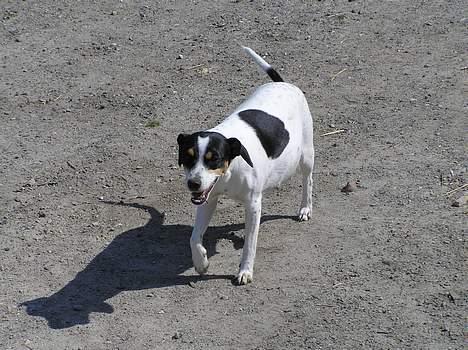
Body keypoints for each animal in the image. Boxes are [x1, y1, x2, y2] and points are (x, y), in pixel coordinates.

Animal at [176, 46, 314, 284]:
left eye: (214, 158)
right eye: (188, 157)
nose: (193, 184)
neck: (230, 171)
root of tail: (283, 84)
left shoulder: (252, 205)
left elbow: (251, 243)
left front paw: (245, 271)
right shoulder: (208, 198)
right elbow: (194, 238)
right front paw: (201, 262)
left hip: (306, 155)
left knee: (308, 179)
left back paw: (305, 207)